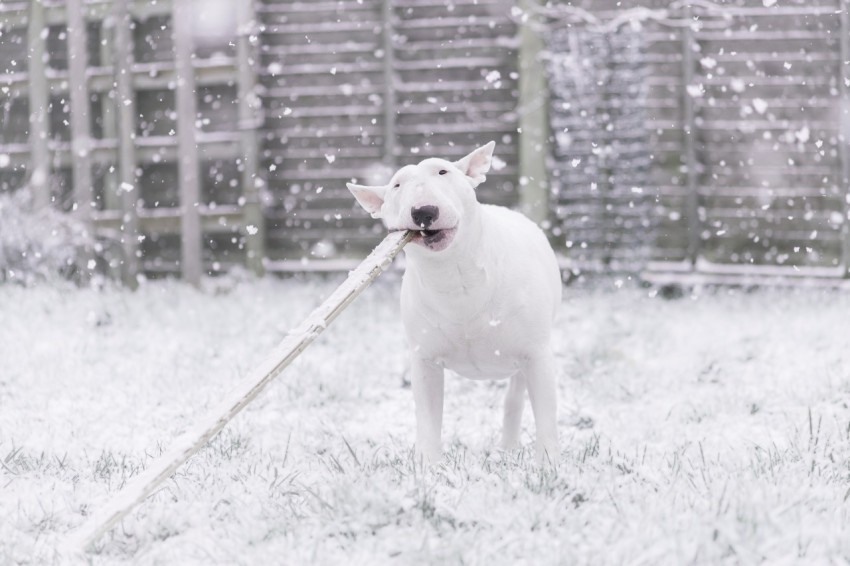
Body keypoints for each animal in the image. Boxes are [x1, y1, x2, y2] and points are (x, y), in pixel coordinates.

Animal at [348, 142, 560, 466]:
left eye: (443, 171)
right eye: (397, 185)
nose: (423, 211)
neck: (455, 279)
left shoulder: (537, 353)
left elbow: (546, 415)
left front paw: (550, 466)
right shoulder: (424, 360)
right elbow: (428, 417)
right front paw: (428, 467)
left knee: (515, 397)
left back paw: (508, 447)